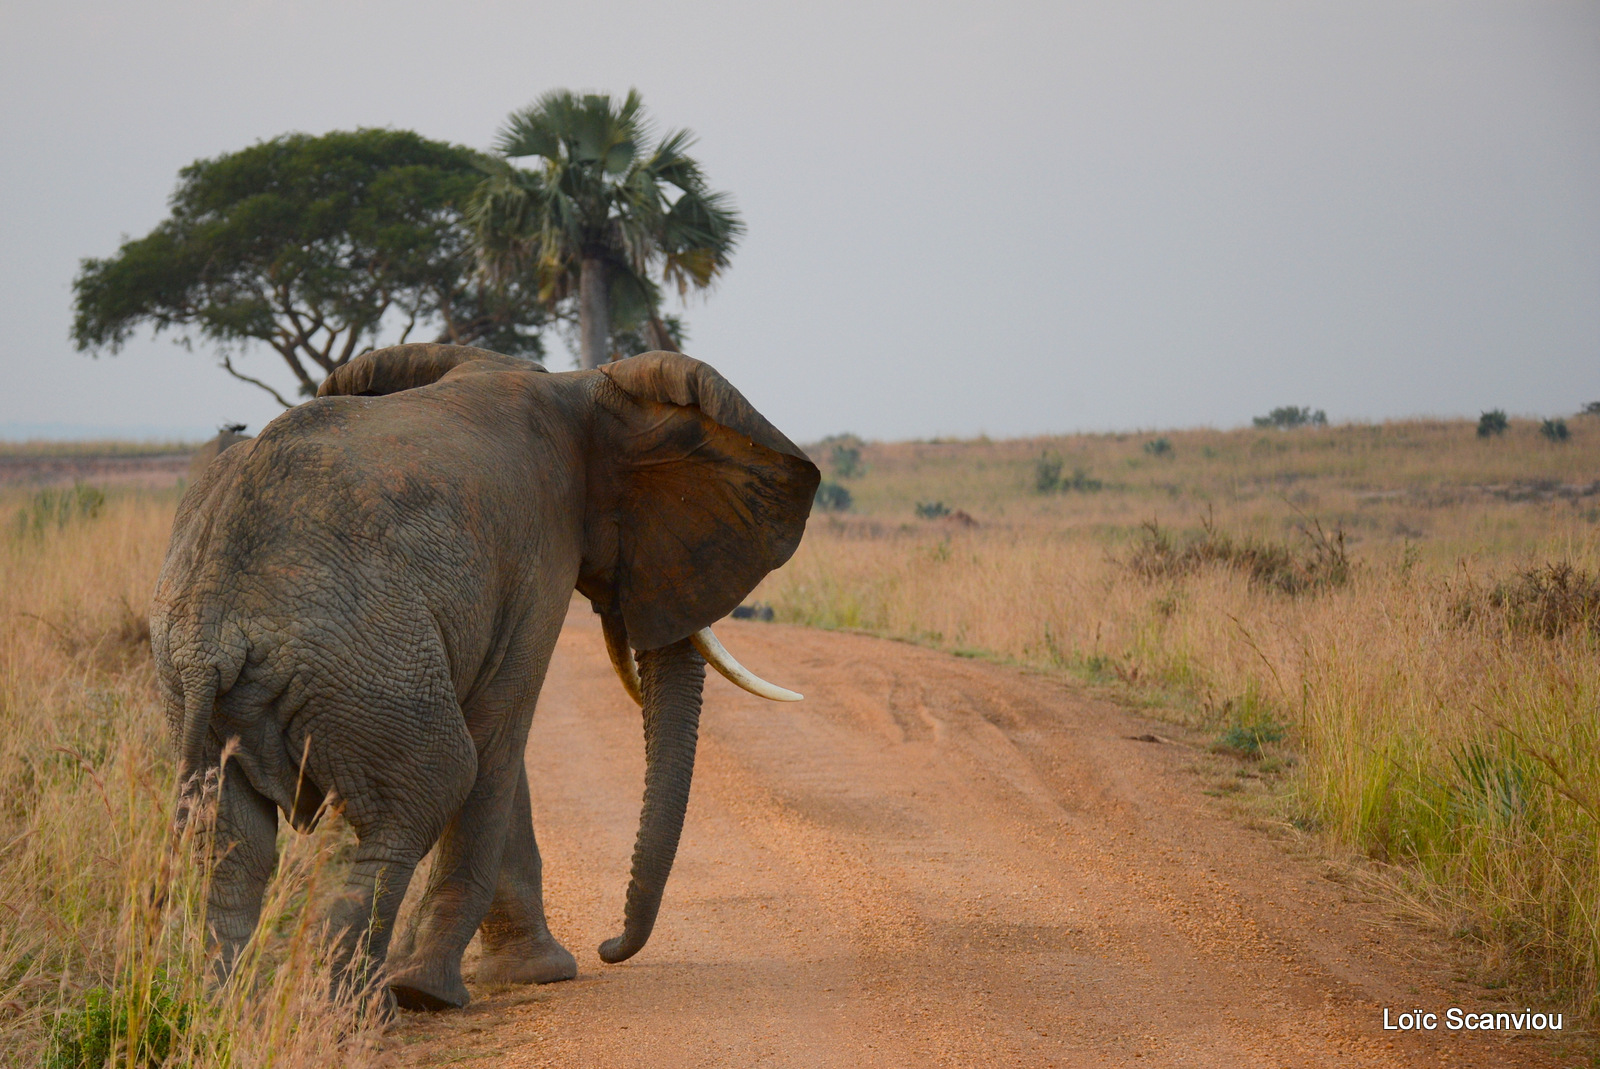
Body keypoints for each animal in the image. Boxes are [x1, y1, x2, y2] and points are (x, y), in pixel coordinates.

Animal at [151, 344, 819, 1011]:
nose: (610, 947)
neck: (583, 389)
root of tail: (213, 628)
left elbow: (501, 741)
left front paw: (532, 973)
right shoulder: (543, 550)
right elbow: (501, 728)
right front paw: (436, 990)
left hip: (202, 685)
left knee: (229, 843)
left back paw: (225, 1010)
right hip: (363, 659)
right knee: (431, 785)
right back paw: (356, 1005)